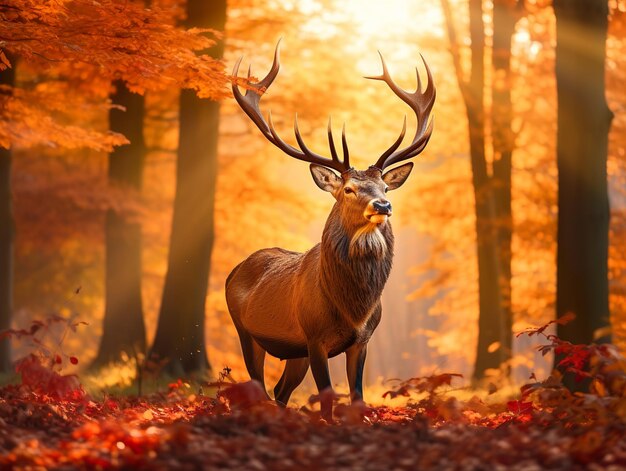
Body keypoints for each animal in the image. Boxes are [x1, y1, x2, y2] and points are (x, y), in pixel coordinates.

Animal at [224, 43, 434, 420]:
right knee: (258, 386)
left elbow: (357, 396)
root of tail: (233, 271)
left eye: (385, 186)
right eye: (349, 189)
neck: (353, 308)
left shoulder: (362, 340)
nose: (383, 205)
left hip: (294, 351)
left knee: (279, 390)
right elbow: (326, 402)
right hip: (247, 332)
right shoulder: (315, 336)